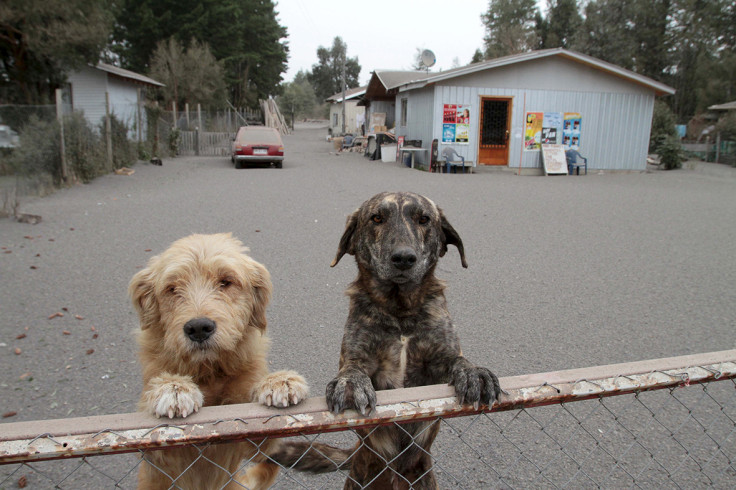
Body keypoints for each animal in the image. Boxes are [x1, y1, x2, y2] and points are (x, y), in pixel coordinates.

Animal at [129, 234, 308, 490]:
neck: (209, 372)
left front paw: (278, 381)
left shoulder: (250, 437)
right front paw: (173, 388)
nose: (198, 328)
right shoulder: (158, 451)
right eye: (172, 288)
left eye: (226, 281)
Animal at [326, 192, 500, 490]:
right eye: (377, 218)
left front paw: (474, 373)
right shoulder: (359, 356)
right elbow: (352, 368)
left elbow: (459, 360)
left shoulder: (439, 361)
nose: (404, 258)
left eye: (424, 219)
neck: (401, 311)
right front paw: (349, 383)